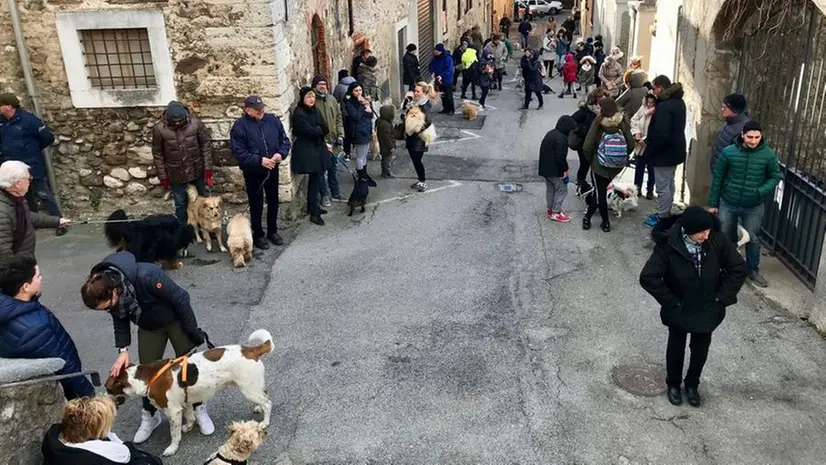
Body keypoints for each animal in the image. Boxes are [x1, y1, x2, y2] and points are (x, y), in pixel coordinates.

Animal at [105, 329, 274, 457]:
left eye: (108, 389)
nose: (103, 398)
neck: (147, 377)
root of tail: (250, 350)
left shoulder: (173, 411)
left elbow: (174, 434)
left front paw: (172, 448)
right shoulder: (185, 402)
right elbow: (190, 416)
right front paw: (188, 426)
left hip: (248, 389)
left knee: (268, 403)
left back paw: (265, 422)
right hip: (251, 386)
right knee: (264, 394)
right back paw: (258, 407)